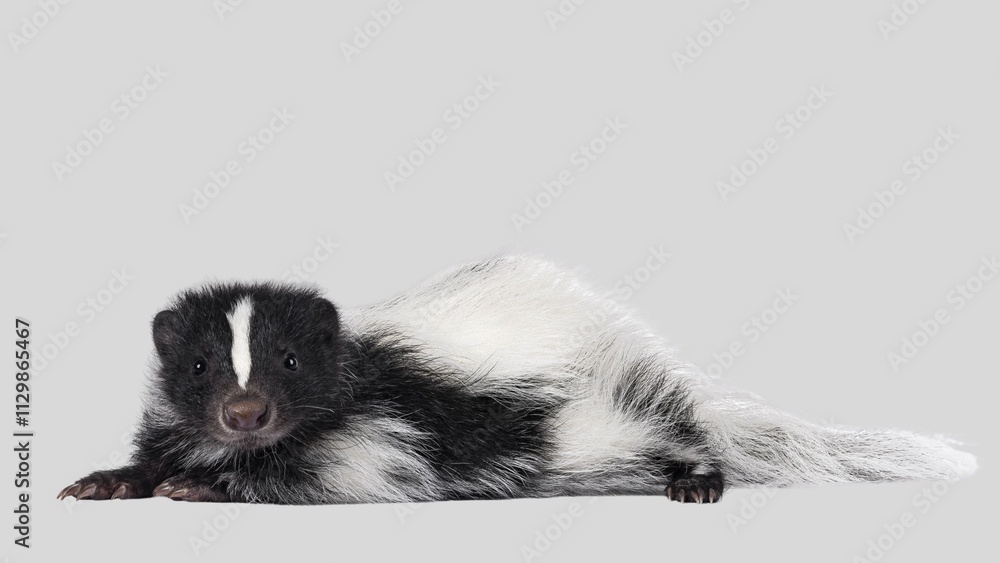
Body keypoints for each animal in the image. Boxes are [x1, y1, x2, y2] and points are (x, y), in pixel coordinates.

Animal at [56, 256, 976, 506]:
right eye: (200, 364)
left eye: (289, 361)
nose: (244, 414)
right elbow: (152, 448)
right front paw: (112, 478)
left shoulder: (387, 428)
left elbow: (336, 470)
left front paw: (201, 485)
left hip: (594, 414)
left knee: (668, 432)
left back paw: (696, 480)